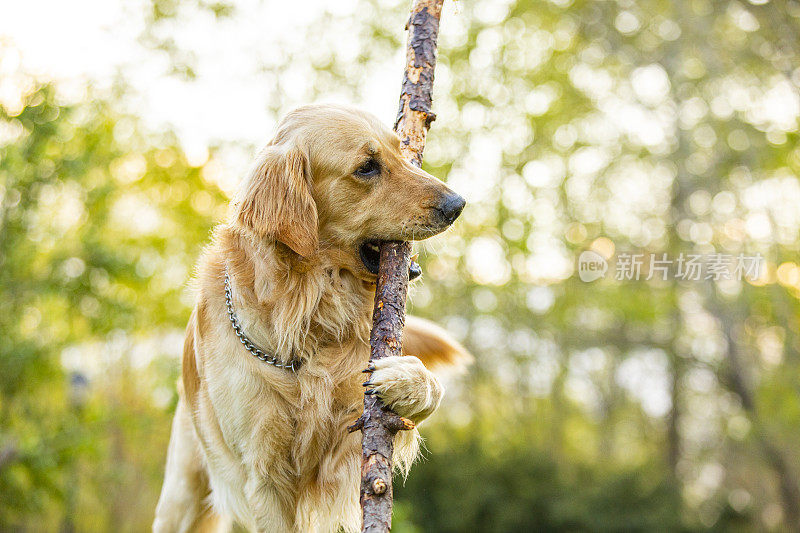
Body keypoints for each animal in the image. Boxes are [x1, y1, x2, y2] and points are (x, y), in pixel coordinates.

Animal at [152, 102, 468, 528]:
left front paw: (405, 379)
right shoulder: (265, 476)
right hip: (182, 496)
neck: (306, 313)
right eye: (367, 167)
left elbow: (429, 387)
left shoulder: (354, 437)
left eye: (399, 150)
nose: (457, 205)